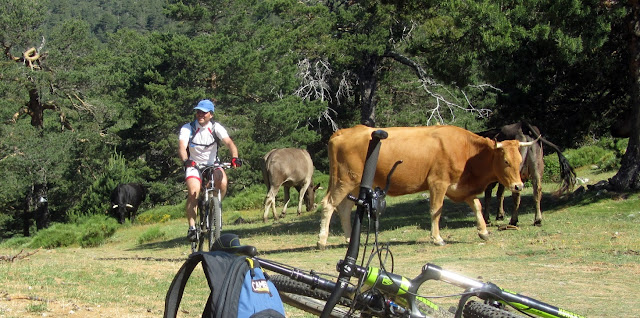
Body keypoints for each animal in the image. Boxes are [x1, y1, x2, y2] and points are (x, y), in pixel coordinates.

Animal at [316, 124, 536, 248]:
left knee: (344, 208)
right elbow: (436, 210)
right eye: (506, 161)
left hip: (354, 184)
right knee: (329, 204)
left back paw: (348, 239)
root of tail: (343, 132)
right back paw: (322, 241)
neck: (467, 151)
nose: (518, 186)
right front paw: (437, 238)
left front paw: (483, 231)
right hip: (345, 180)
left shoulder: (461, 187)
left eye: (519, 160)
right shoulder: (438, 183)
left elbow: (477, 206)